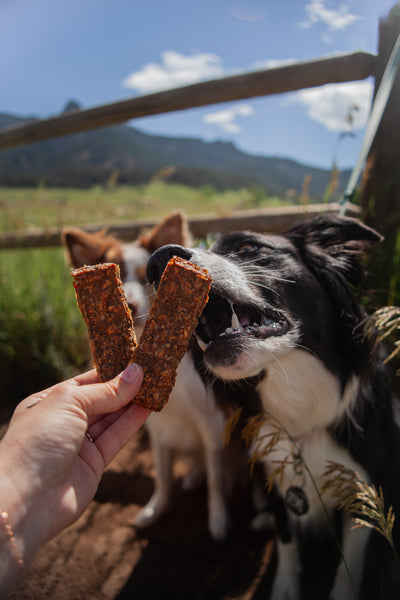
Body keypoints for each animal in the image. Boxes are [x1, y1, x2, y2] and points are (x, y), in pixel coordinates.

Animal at [62, 213, 241, 540]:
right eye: (119, 276)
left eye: (145, 278)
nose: (131, 307)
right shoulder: (158, 429)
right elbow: (163, 475)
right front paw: (155, 510)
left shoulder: (211, 423)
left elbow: (216, 479)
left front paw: (219, 521)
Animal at [146, 217, 400, 600]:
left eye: (249, 248)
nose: (157, 263)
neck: (301, 405)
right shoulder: (277, 479)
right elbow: (286, 540)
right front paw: (284, 588)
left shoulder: (363, 489)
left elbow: (349, 569)